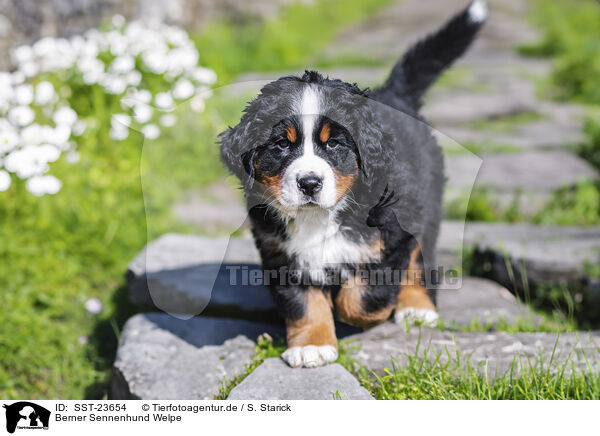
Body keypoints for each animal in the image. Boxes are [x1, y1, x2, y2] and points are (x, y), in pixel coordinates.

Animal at [220, 0, 488, 368]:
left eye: (334, 144)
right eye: (281, 145)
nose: (309, 183)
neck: (320, 217)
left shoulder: (392, 235)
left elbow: (363, 297)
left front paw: (364, 316)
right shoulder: (280, 252)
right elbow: (302, 303)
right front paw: (312, 344)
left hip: (426, 206)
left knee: (420, 260)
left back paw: (417, 308)